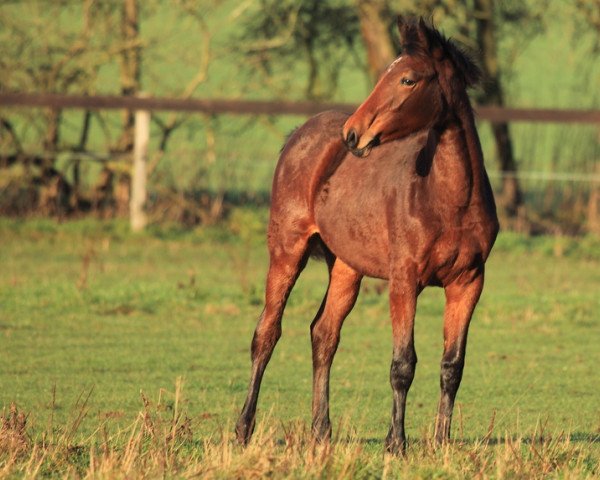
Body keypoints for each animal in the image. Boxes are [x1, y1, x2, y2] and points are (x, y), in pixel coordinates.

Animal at [237, 17, 500, 454]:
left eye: (408, 79)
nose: (353, 134)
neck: (449, 200)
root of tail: (298, 134)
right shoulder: (404, 280)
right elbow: (403, 364)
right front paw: (397, 444)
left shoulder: (469, 283)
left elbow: (452, 366)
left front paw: (441, 444)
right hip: (287, 251)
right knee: (267, 334)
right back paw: (243, 430)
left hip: (346, 266)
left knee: (324, 334)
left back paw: (321, 433)